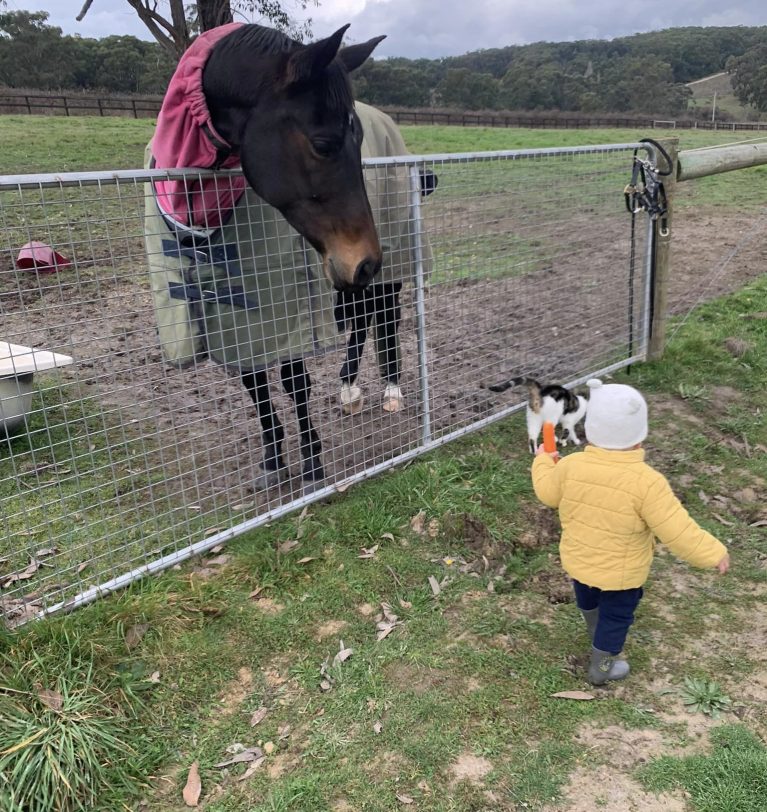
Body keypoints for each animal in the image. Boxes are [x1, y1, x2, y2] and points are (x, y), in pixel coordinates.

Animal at [143, 25, 384, 492]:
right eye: (324, 144)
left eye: (360, 140)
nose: (365, 260)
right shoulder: (231, 315)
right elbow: (253, 384)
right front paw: (273, 461)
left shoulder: (285, 311)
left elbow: (294, 383)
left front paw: (312, 466)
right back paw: (348, 388)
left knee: (378, 316)